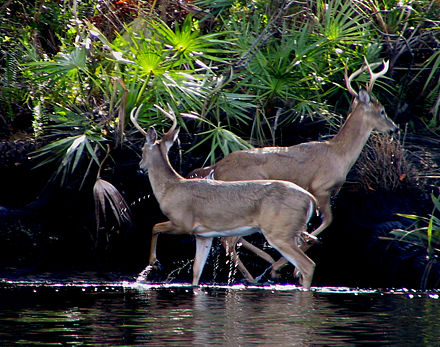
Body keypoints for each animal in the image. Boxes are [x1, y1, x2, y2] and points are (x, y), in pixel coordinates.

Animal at [131, 104, 320, 290]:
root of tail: (311, 199)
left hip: (279, 231)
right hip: (293, 229)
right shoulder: (203, 235)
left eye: (142, 149)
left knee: (308, 265)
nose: (140, 165)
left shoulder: (182, 222)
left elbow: (154, 227)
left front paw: (154, 262)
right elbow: (196, 272)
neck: (170, 187)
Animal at [148, 58, 398, 284]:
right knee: (231, 240)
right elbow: (327, 222)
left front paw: (288, 264)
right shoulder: (320, 187)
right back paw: (264, 268)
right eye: (382, 111)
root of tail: (216, 165)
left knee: (232, 238)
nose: (394, 128)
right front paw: (287, 266)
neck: (339, 153)